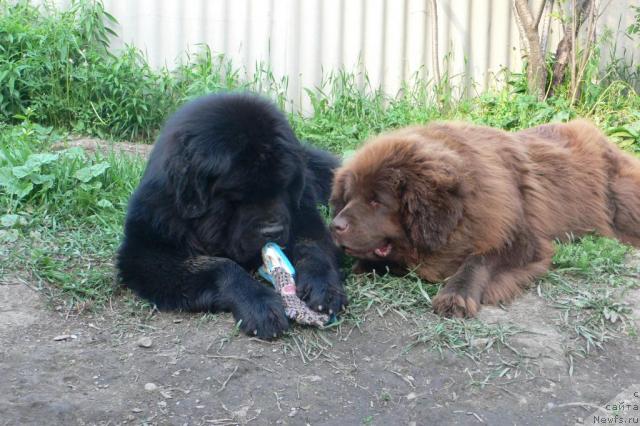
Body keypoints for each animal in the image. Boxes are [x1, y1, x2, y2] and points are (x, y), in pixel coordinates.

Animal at [115, 92, 344, 336]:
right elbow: (219, 266)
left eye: (282, 188)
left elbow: (312, 247)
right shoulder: (147, 251)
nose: (273, 231)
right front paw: (260, 303)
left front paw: (323, 286)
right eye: (238, 197)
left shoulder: (303, 214)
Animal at [330, 120, 640, 316]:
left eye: (376, 201)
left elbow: (479, 259)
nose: (335, 226)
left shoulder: (520, 239)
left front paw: (456, 295)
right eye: (349, 197)